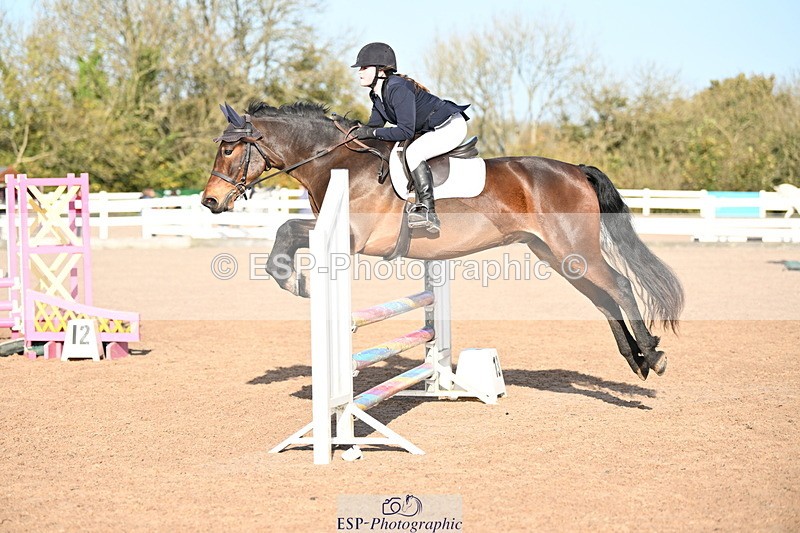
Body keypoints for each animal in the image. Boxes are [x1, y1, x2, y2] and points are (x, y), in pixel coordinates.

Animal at [201, 101, 684, 381]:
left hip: (575, 251)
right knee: (602, 300)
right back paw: (637, 360)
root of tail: (575, 169)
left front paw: (296, 282)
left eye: (227, 149)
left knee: (619, 287)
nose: (209, 201)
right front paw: (293, 280)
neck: (339, 162)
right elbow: (284, 231)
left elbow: (287, 230)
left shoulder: (351, 237)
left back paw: (653, 354)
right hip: (556, 255)